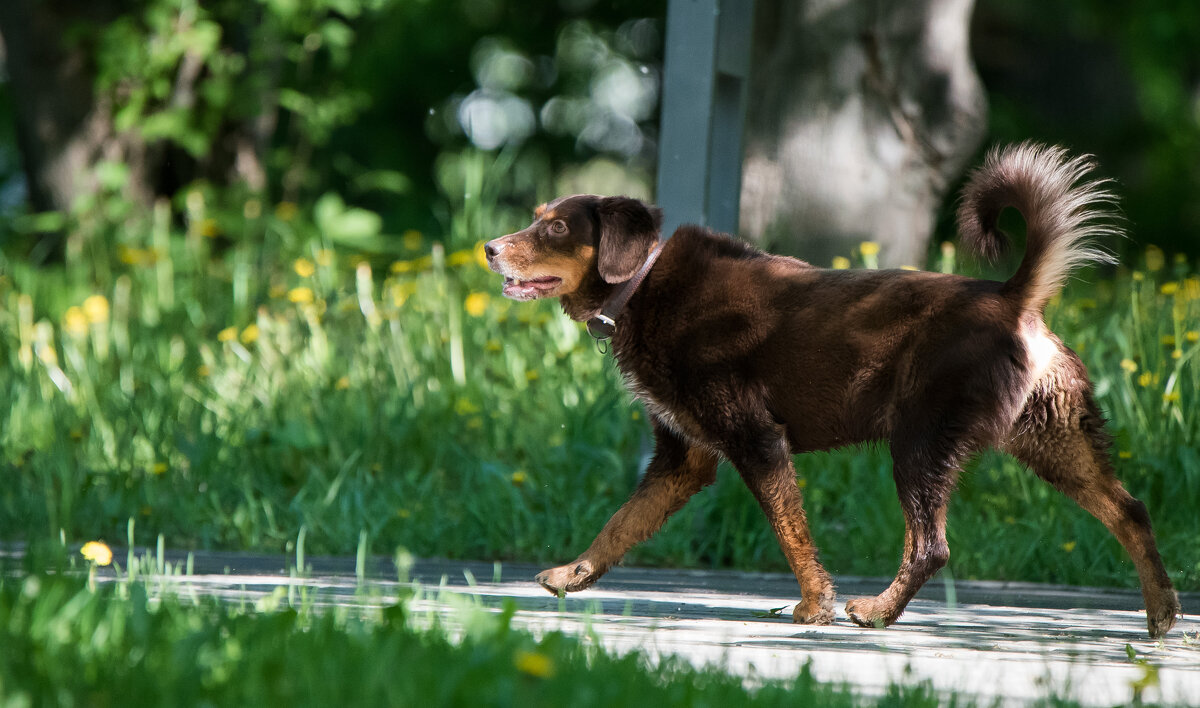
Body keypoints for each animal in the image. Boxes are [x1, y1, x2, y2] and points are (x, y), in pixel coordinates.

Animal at [484, 144, 1180, 638]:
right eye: (537, 220)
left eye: (555, 229)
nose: (488, 247)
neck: (643, 284)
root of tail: (1012, 299)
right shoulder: (684, 458)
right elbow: (619, 525)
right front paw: (574, 575)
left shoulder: (755, 440)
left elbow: (791, 531)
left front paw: (815, 604)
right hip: (1054, 441)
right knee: (1130, 511)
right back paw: (1162, 615)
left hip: (921, 442)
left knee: (930, 546)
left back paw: (876, 612)